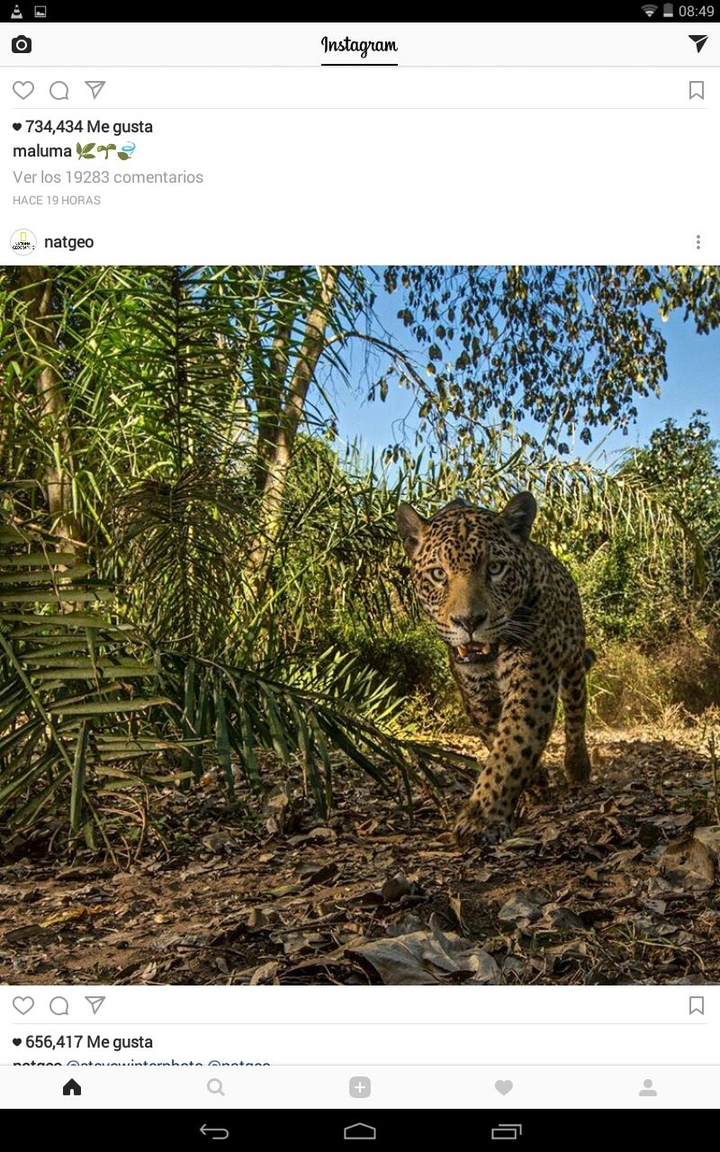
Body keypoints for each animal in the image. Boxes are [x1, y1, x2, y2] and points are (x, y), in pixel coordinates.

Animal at [397, 491, 593, 845]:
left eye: (496, 568)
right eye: (438, 574)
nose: (468, 621)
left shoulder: (532, 682)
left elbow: (513, 746)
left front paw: (481, 817)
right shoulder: (477, 697)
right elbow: (499, 741)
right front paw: (534, 785)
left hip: (572, 659)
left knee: (575, 713)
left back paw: (578, 767)